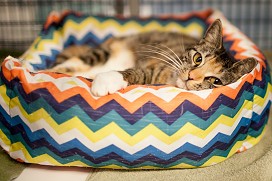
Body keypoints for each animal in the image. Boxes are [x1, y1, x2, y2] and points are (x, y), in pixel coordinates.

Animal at [51, 18, 258, 96]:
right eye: (198, 58)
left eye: (215, 81)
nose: (190, 77)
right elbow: (140, 71)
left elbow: (141, 74)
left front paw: (106, 81)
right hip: (102, 53)